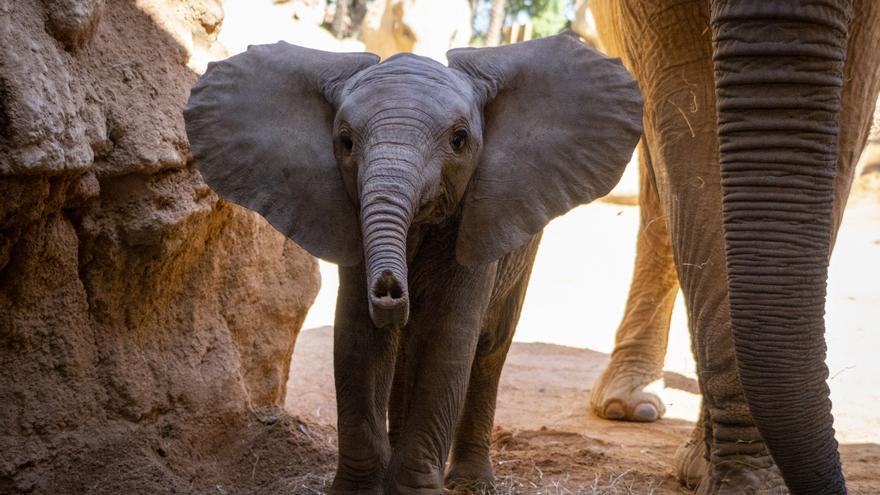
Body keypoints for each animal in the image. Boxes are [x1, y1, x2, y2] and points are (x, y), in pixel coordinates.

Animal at [184, 33, 640, 494]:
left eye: (459, 140)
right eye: (345, 142)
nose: (390, 290)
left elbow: (446, 341)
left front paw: (416, 489)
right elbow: (356, 340)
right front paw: (359, 489)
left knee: (490, 348)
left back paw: (470, 483)